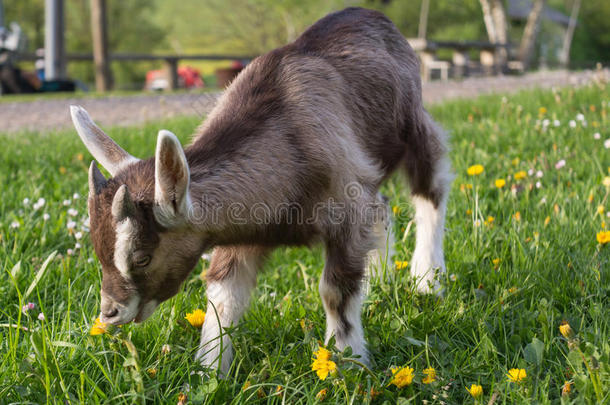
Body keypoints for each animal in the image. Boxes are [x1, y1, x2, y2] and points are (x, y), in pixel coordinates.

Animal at [72, 6, 452, 372]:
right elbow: (223, 296)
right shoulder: (240, 233)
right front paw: (208, 373)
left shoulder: (347, 208)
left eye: (142, 257)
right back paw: (381, 279)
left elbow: (335, 290)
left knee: (431, 187)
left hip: (414, 128)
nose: (110, 313)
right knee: (383, 207)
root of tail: (373, 16)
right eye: (98, 250)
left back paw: (427, 279)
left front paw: (349, 363)